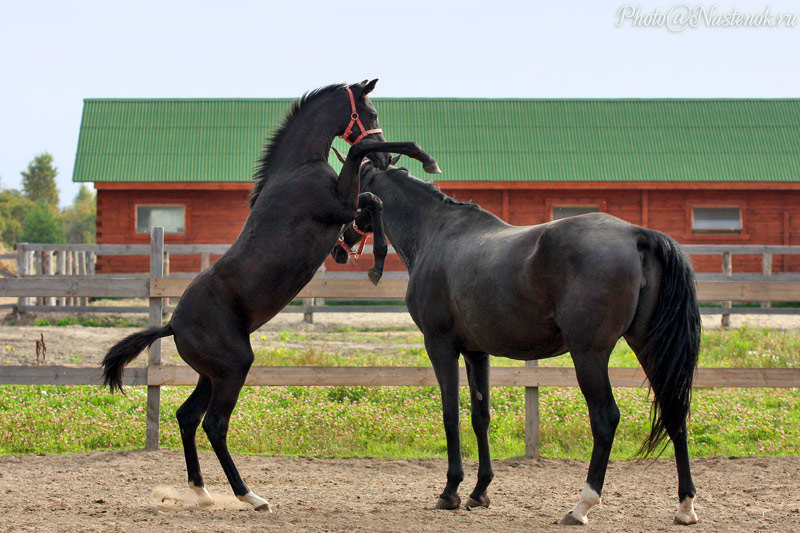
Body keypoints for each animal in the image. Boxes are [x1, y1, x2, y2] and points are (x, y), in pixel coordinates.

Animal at [101, 80, 440, 512]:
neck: (296, 170)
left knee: (187, 417)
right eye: (371, 113)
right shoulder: (338, 204)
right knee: (214, 425)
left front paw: (367, 255)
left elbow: (372, 202)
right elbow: (364, 180)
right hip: (233, 368)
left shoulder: (346, 204)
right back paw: (250, 496)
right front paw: (422, 164)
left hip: (212, 374)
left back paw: (203, 491)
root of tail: (172, 324)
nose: (384, 157)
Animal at [334, 162, 696, 524]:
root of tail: (636, 234)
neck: (436, 233)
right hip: (648, 347)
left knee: (605, 418)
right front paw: (479, 491)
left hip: (589, 355)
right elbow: (480, 416)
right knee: (674, 412)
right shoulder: (476, 352)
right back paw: (685, 506)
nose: (338, 248)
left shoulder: (440, 346)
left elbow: (450, 415)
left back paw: (582, 506)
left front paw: (450, 491)